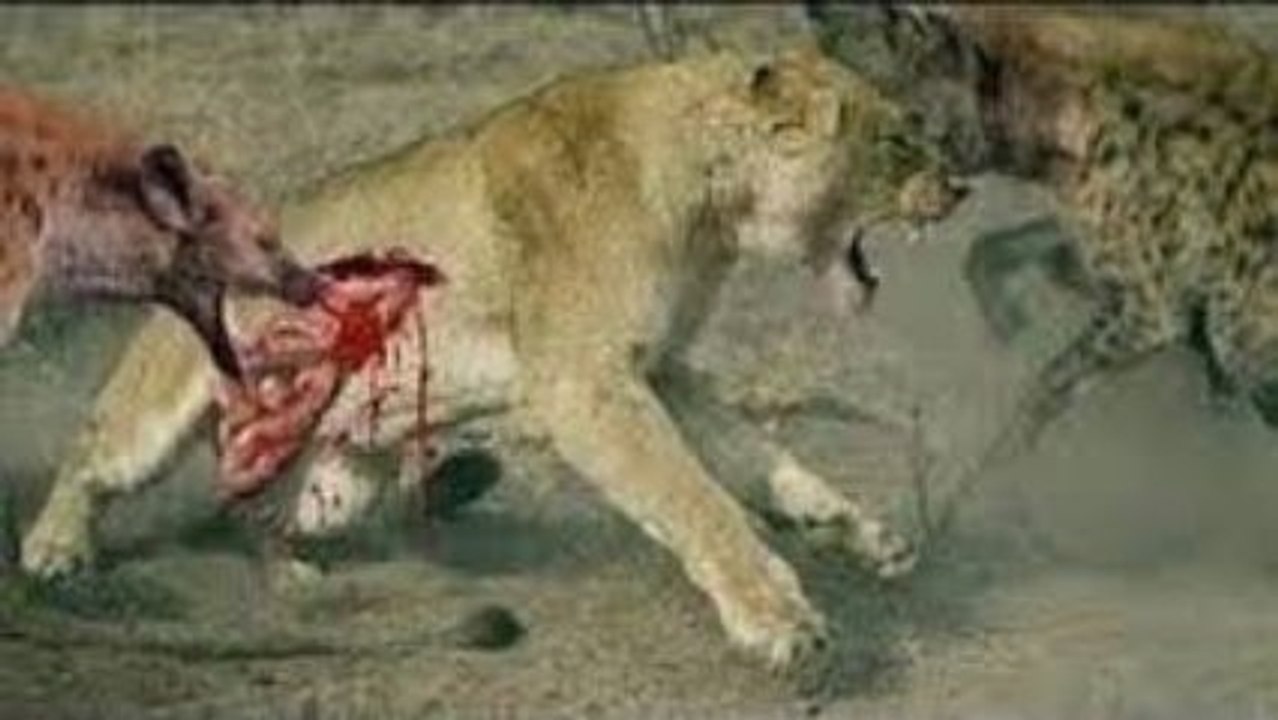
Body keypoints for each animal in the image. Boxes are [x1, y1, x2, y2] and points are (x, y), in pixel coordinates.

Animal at [19, 45, 962, 669]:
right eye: (896, 141)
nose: (959, 187)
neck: (712, 209)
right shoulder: (588, 386)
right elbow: (696, 500)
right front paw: (775, 618)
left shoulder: (658, 368)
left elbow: (759, 457)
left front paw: (860, 531)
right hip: (159, 407)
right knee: (92, 452)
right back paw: (54, 547)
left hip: (338, 482)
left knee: (268, 517)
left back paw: (313, 571)